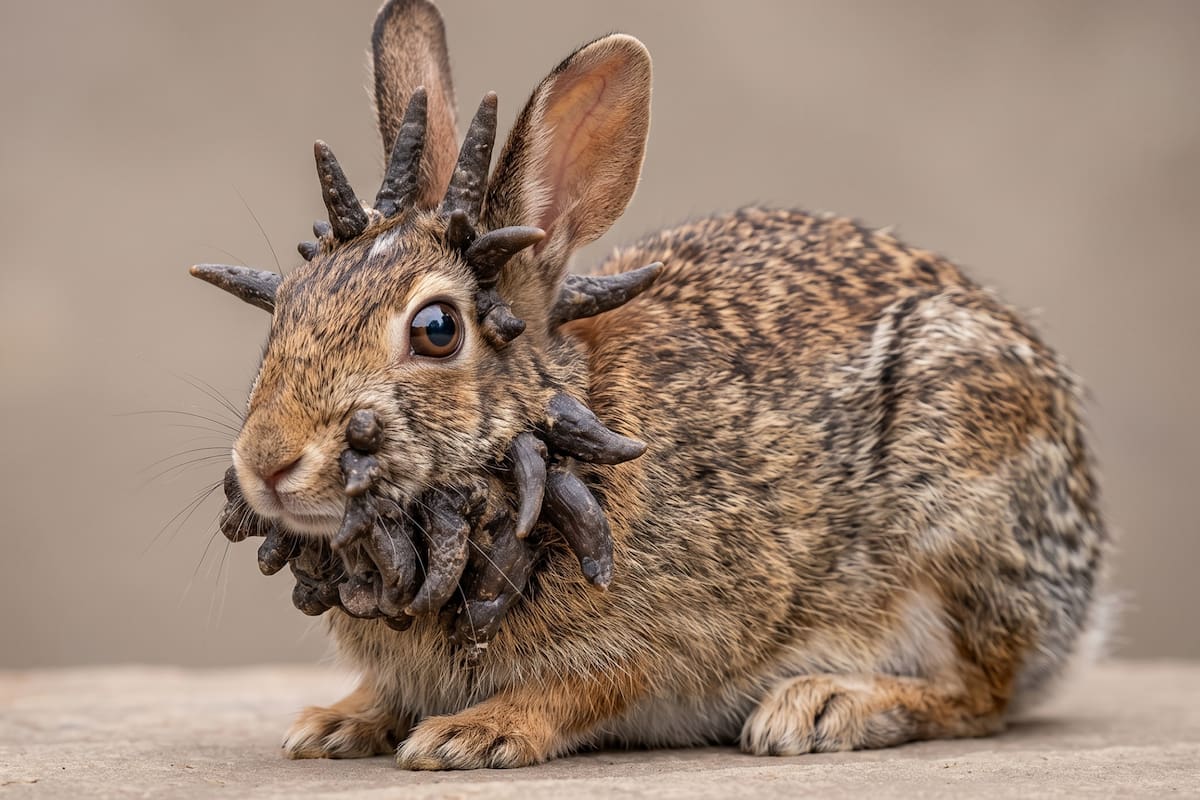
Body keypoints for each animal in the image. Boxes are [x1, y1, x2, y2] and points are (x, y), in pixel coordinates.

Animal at [197, 0, 1110, 769]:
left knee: (981, 692)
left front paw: (471, 734)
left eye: (437, 330)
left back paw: (826, 706)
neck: (545, 444)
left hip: (953, 515)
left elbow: (585, 686)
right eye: (287, 304)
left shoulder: (685, 630)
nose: (267, 463)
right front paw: (335, 722)